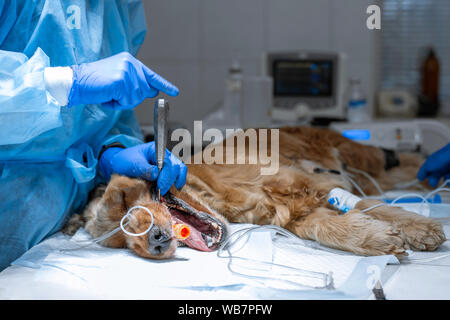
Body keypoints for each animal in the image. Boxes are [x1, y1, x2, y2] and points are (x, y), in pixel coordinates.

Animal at [64, 126, 446, 258]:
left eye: (124, 200)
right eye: (121, 242)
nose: (155, 243)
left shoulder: (314, 184)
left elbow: (378, 208)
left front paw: (421, 229)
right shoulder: (299, 213)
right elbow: (332, 227)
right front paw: (378, 240)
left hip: (360, 155)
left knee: (406, 162)